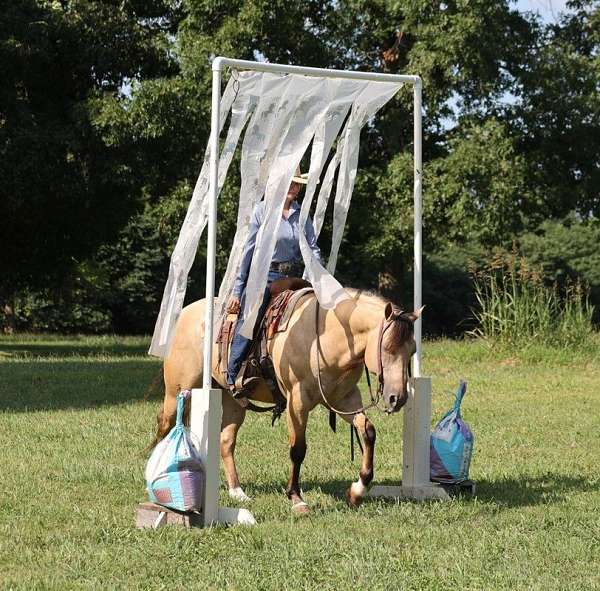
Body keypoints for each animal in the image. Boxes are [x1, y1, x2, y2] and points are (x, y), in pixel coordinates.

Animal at [152, 290, 420, 516]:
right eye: (387, 347)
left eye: (412, 350)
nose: (397, 398)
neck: (325, 338)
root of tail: (185, 313)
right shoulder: (297, 402)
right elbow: (298, 449)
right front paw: (296, 498)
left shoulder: (345, 400)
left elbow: (368, 433)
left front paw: (357, 491)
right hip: (178, 392)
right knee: (165, 425)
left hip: (232, 401)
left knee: (226, 442)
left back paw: (238, 493)